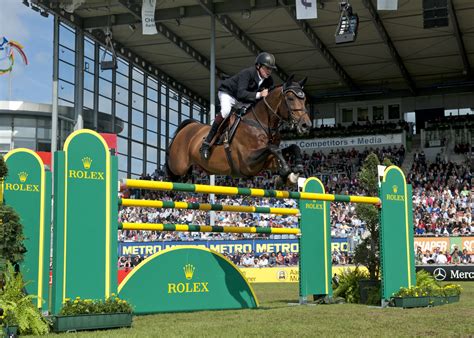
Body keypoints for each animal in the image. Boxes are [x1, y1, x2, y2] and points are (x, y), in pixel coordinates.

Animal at [165, 75, 312, 185]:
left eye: (304, 99)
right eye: (290, 98)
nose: (306, 125)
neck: (261, 123)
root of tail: (189, 126)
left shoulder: (265, 163)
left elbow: (291, 147)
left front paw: (295, 171)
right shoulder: (247, 161)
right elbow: (274, 149)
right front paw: (287, 170)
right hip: (178, 166)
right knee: (171, 173)